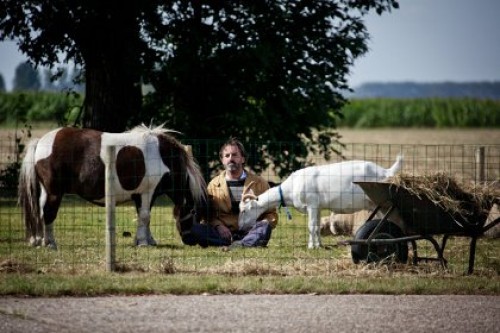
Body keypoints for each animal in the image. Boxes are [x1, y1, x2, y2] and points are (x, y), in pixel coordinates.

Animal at [18, 123, 208, 248]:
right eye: (194, 212)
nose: (191, 241)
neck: (163, 156)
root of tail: (41, 141)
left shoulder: (143, 195)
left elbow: (144, 217)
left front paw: (146, 240)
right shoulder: (147, 192)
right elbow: (145, 216)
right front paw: (143, 243)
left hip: (46, 191)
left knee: (40, 211)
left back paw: (41, 240)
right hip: (55, 192)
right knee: (48, 213)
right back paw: (50, 243)